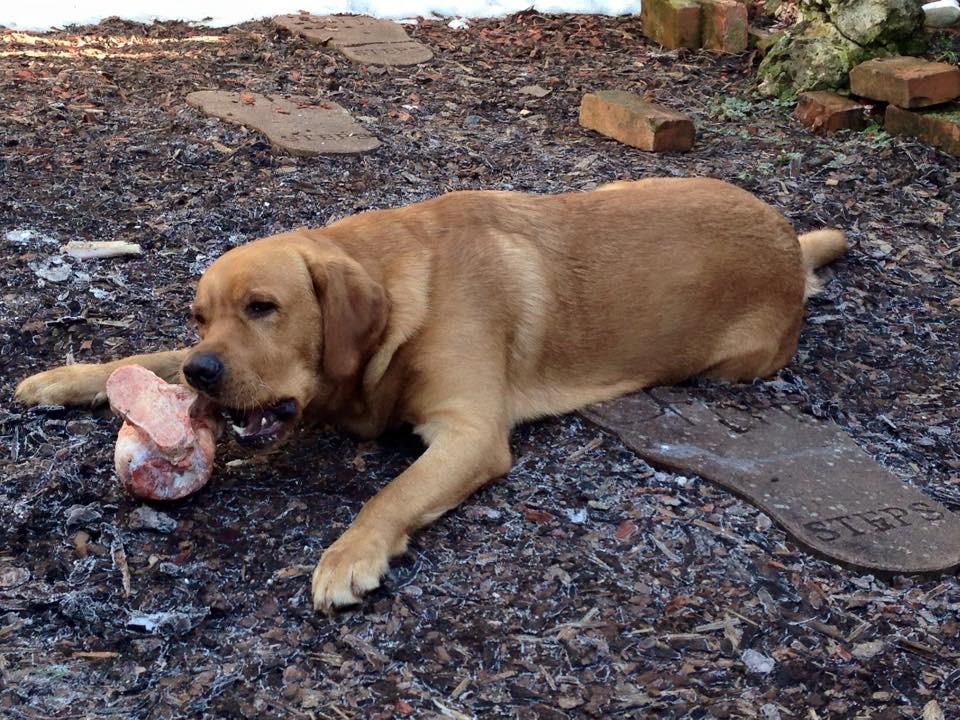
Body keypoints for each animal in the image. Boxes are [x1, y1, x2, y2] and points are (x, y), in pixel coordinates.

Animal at [16, 177, 848, 612]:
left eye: (263, 306)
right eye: (199, 316)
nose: (203, 375)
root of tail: (787, 236)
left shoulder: (470, 431)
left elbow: (389, 494)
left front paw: (349, 554)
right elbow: (144, 355)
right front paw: (70, 376)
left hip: (733, 362)